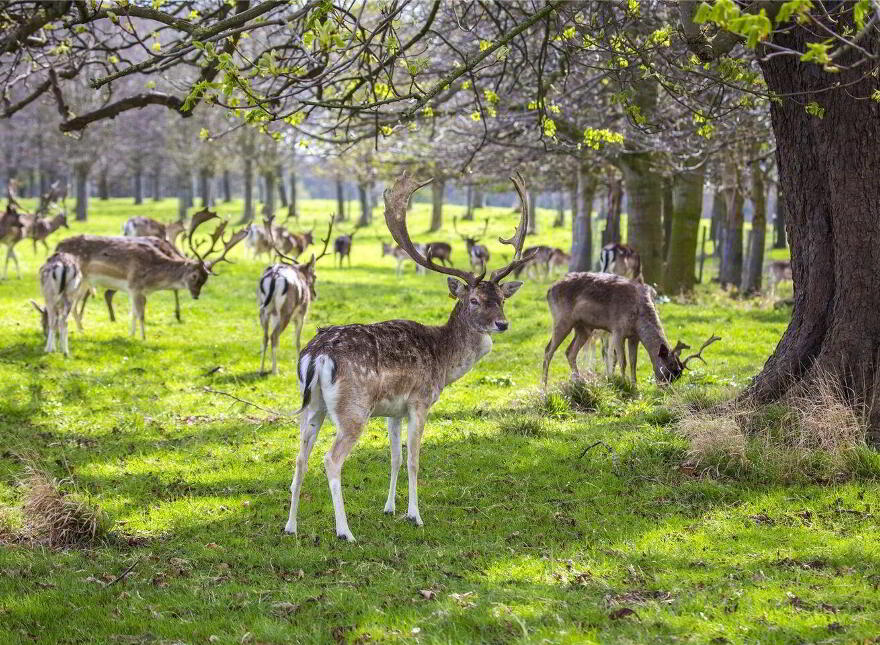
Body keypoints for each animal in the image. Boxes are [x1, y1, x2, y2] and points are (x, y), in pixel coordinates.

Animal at [57, 209, 246, 340]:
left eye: (205, 279)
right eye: (194, 276)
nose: (196, 296)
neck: (153, 279)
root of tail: (58, 246)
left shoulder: (138, 291)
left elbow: (134, 313)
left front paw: (131, 335)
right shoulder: (134, 286)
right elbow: (140, 314)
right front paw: (143, 338)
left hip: (84, 283)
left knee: (74, 306)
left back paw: (82, 331)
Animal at [258, 218, 334, 375]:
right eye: (315, 276)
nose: (314, 295)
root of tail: (274, 276)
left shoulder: (273, 315)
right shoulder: (301, 313)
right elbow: (298, 341)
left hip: (264, 310)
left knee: (265, 337)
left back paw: (261, 369)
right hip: (286, 311)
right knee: (274, 336)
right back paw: (275, 371)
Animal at [283, 171, 536, 543]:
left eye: (502, 299)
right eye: (474, 300)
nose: (502, 324)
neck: (443, 361)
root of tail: (317, 354)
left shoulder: (393, 411)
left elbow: (395, 458)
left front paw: (390, 508)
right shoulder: (420, 401)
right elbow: (415, 459)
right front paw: (414, 515)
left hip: (312, 406)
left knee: (300, 457)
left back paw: (290, 526)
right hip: (353, 409)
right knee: (331, 459)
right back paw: (345, 532)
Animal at [541, 272, 720, 386]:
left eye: (679, 374)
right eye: (669, 369)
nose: (666, 388)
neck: (638, 318)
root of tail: (549, 290)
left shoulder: (634, 337)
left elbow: (633, 362)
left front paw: (634, 386)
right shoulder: (617, 330)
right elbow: (622, 361)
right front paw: (623, 385)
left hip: (584, 327)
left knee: (569, 351)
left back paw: (578, 381)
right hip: (562, 318)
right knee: (548, 350)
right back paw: (544, 386)